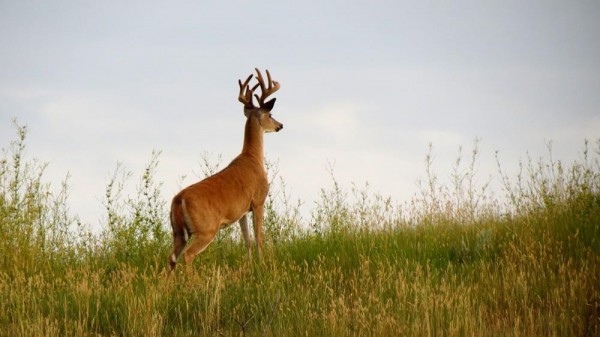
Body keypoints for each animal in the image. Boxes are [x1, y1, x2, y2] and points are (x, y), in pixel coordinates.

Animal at [168, 68, 282, 270]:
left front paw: (250, 266)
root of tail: (179, 199)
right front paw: (263, 265)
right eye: (270, 115)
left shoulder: (242, 210)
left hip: (178, 231)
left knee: (171, 257)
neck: (253, 157)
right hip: (206, 228)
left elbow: (247, 240)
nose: (280, 125)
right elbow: (259, 238)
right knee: (188, 254)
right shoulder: (258, 200)